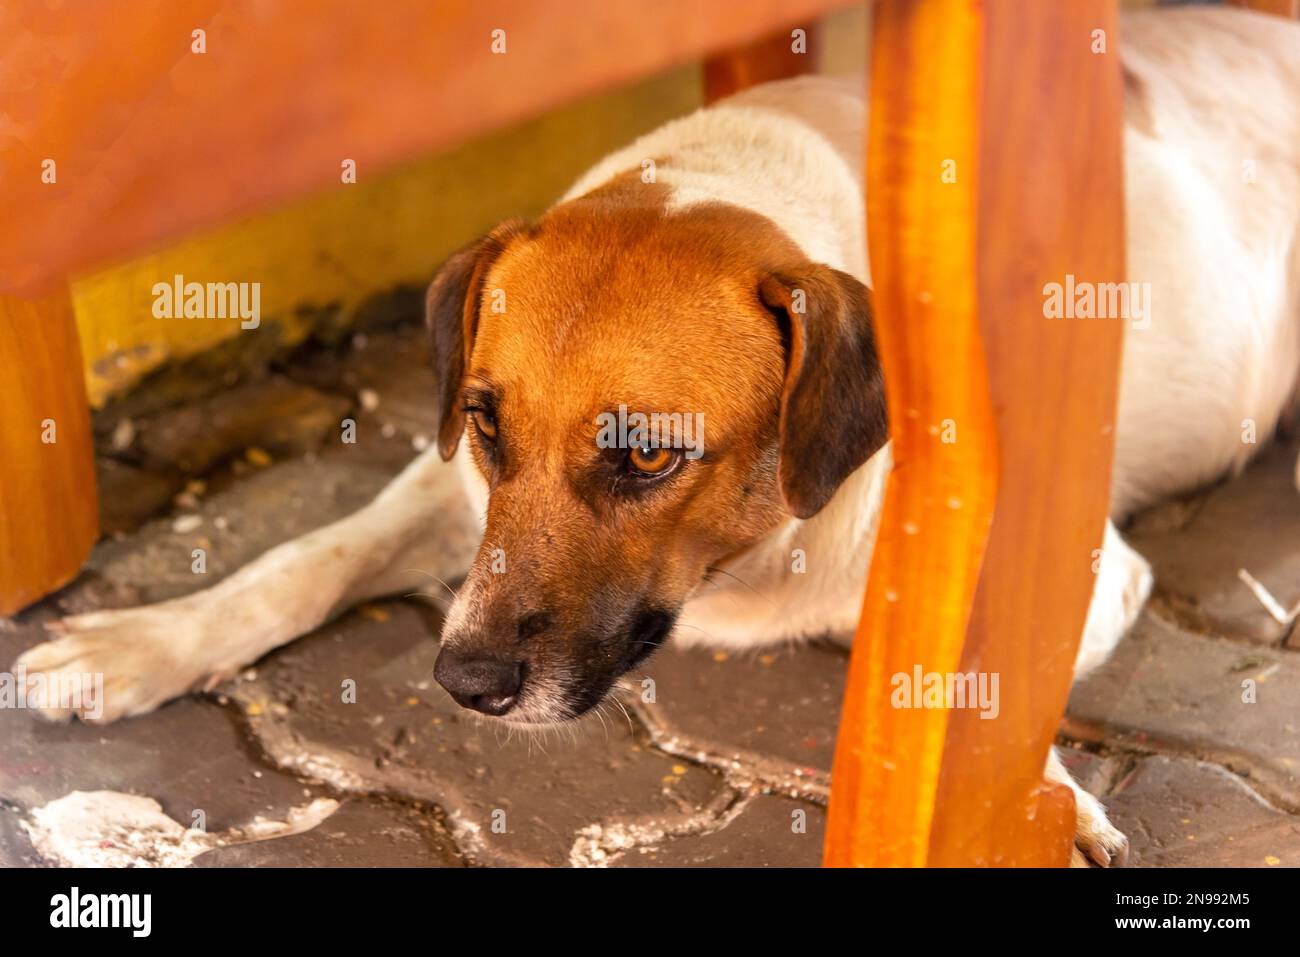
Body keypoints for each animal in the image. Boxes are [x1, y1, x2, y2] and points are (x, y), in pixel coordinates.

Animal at [12, 3, 1300, 868]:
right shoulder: (451, 493)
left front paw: (1042, 809)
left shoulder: (1064, 562)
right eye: (482, 422)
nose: (464, 683)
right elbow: (302, 558)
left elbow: (967, 685)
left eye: (645, 454)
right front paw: (143, 641)